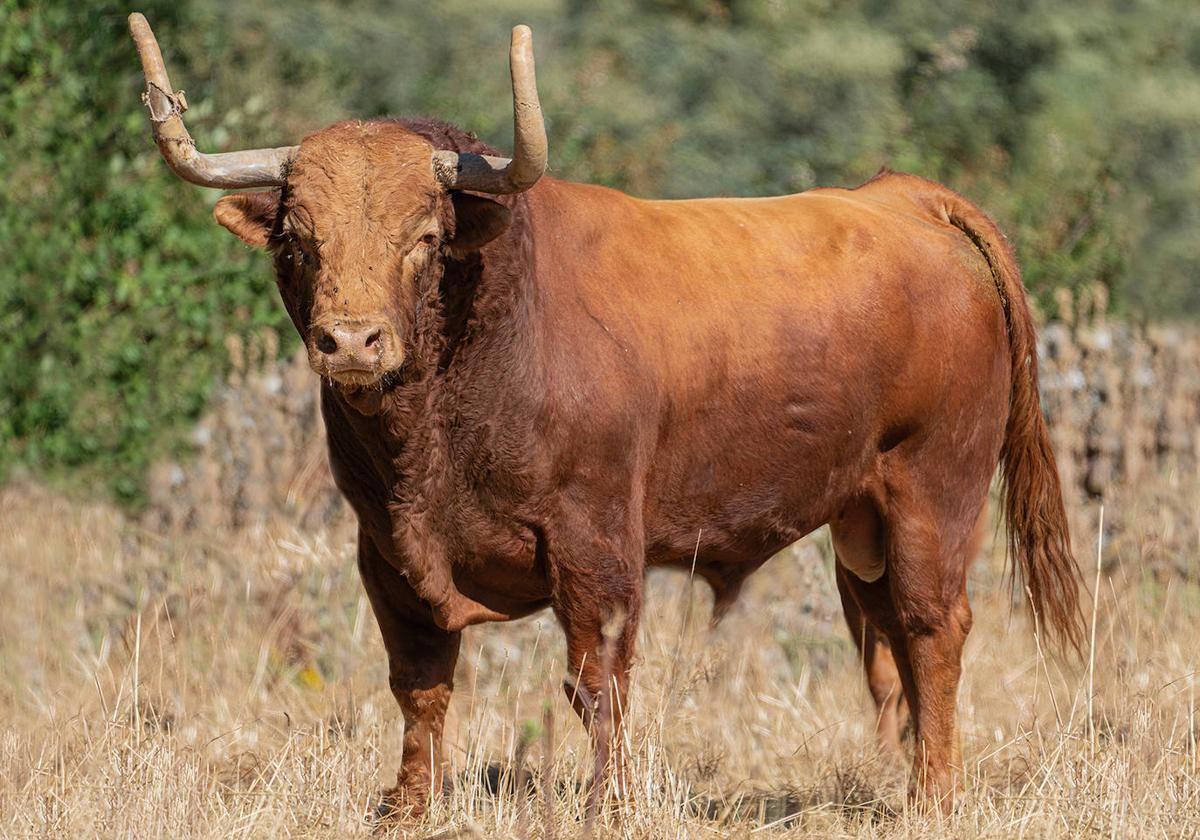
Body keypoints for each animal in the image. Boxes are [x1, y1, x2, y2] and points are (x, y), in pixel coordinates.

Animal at [126, 11, 1084, 816]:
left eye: (425, 238)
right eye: (298, 239)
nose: (352, 342)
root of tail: (904, 196)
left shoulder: (595, 543)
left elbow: (598, 682)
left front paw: (606, 805)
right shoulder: (387, 552)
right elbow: (420, 683)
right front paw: (407, 808)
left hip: (936, 487)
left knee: (932, 629)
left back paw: (934, 797)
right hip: (862, 517)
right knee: (885, 635)